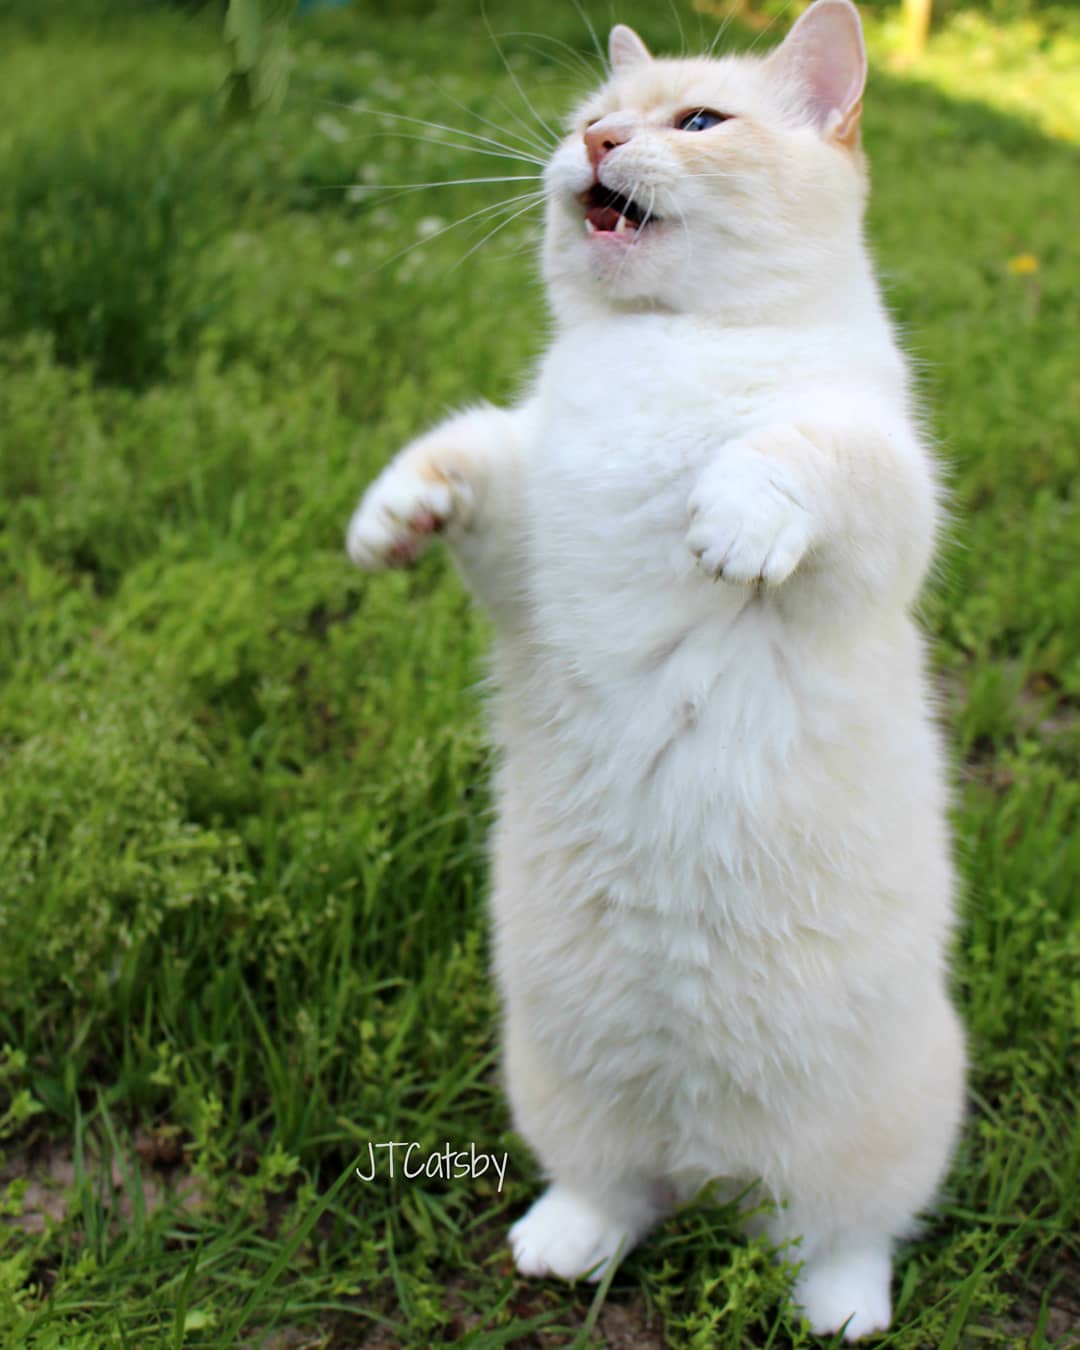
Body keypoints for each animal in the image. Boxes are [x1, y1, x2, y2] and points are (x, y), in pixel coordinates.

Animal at [345, 1, 966, 1338]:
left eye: (698, 122)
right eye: (596, 112)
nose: (596, 142)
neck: (662, 348)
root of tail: (710, 1165)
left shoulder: (881, 509)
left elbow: (798, 450)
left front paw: (729, 520)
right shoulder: (520, 547)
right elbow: (466, 451)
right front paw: (389, 522)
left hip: (874, 1135)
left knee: (839, 1237)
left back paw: (840, 1310)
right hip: (568, 1088)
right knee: (618, 1194)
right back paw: (560, 1247)